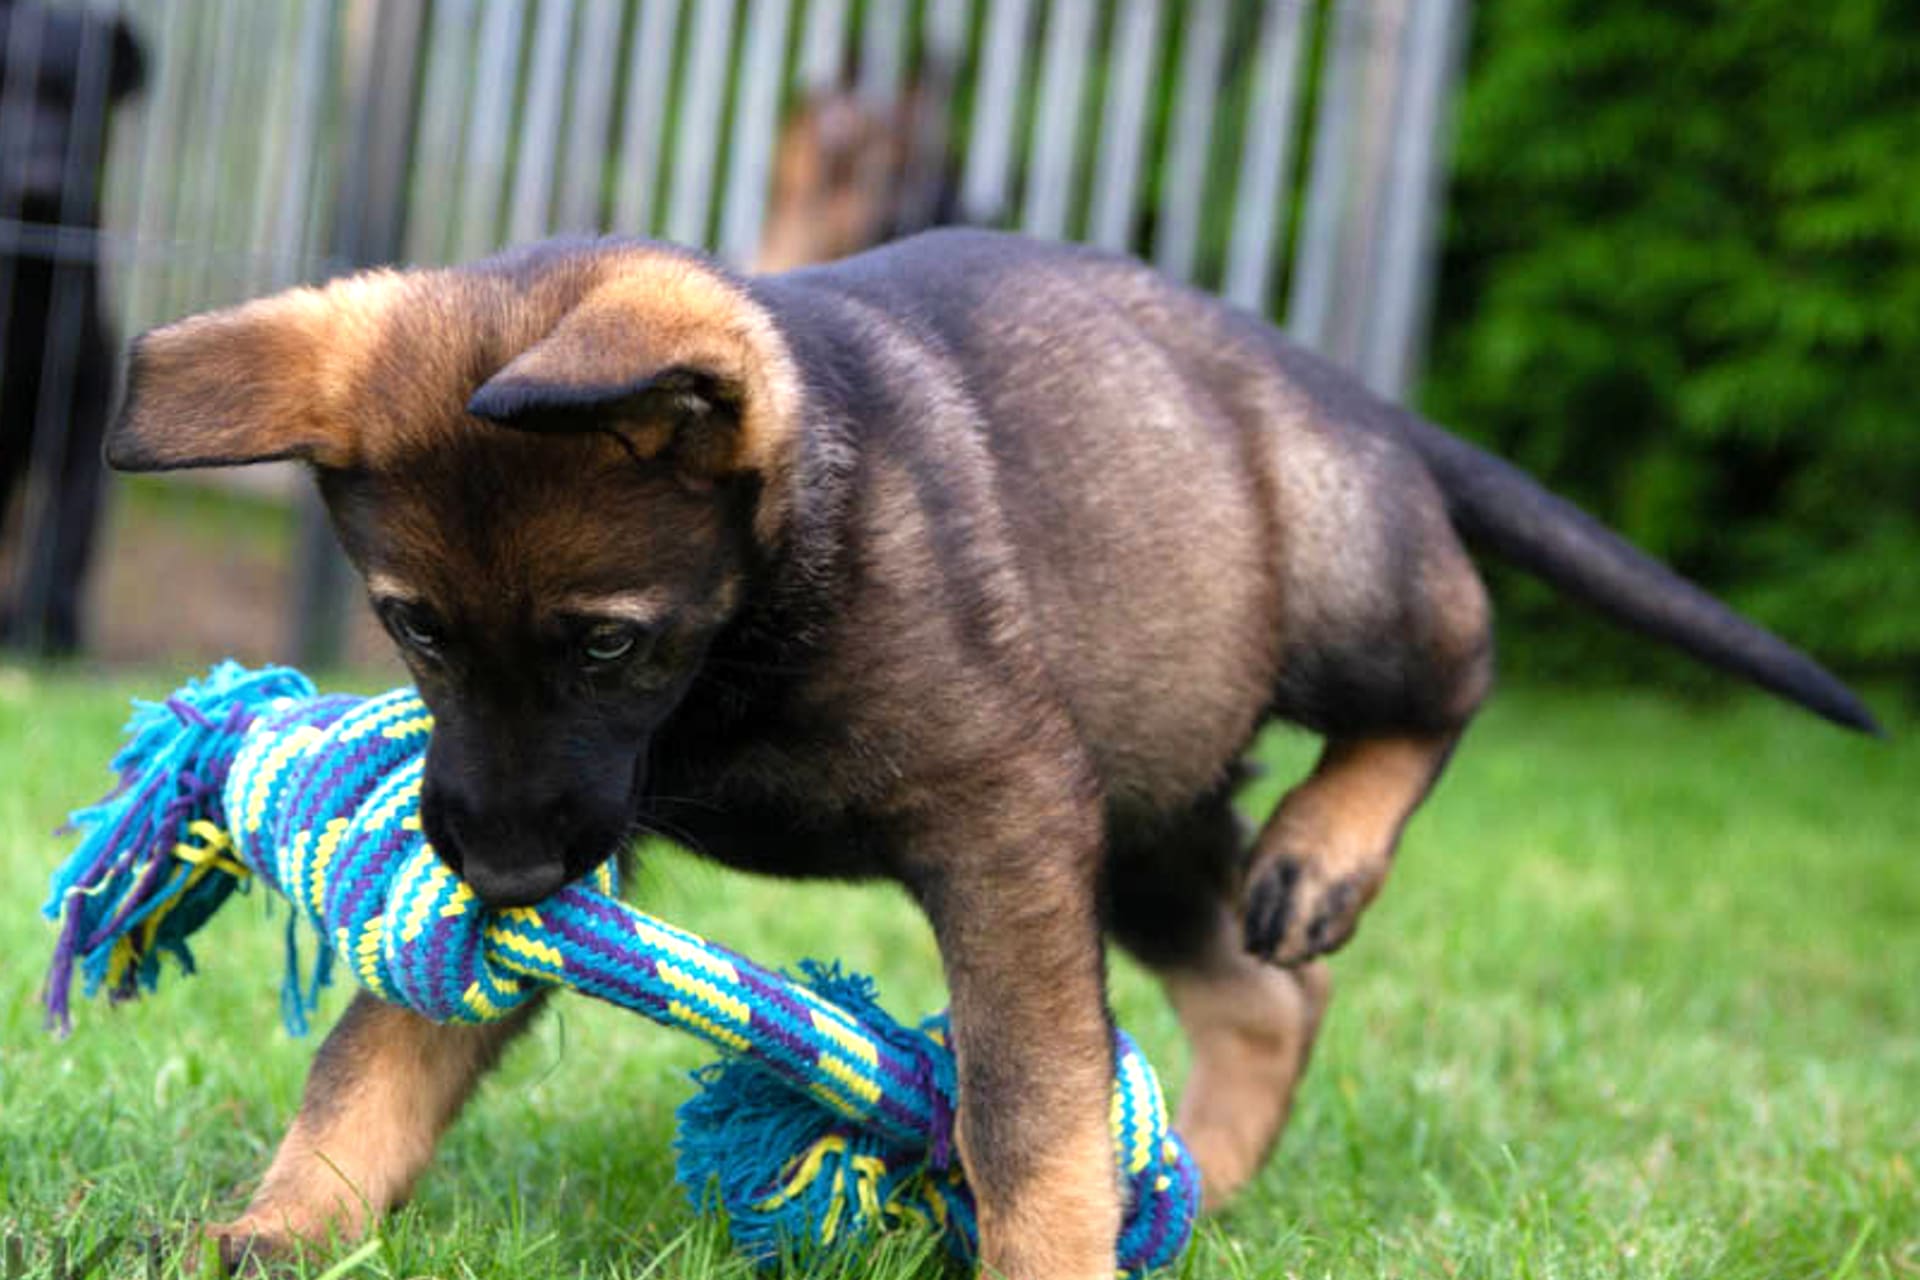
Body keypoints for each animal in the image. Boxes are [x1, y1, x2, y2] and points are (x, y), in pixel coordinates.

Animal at [105, 233, 1873, 1280]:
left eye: (604, 643)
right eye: (412, 631)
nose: (503, 868)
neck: (751, 629)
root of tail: (1331, 381)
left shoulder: (1003, 822)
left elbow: (1033, 1102)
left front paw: (1051, 1250)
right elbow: (383, 1052)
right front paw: (281, 1223)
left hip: (1330, 598)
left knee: (1458, 661)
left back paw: (1331, 845)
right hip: (1148, 805)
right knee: (1264, 995)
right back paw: (1215, 1182)